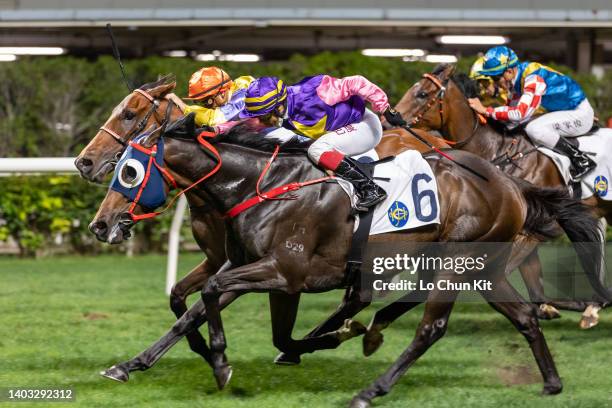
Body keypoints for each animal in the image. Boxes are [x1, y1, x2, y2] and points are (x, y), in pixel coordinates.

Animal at [87, 115, 608, 408]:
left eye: (128, 172)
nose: (100, 224)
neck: (262, 184)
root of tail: (510, 183)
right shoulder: (256, 270)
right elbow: (201, 308)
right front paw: (133, 364)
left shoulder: (285, 272)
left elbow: (214, 296)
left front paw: (220, 362)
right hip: (480, 269)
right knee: (522, 316)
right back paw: (551, 383)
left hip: (456, 264)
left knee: (431, 328)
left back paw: (370, 389)